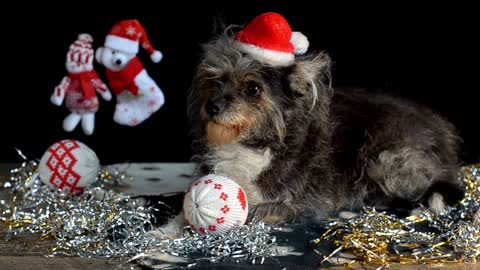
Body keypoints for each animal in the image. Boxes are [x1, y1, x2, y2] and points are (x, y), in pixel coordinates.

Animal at [182, 12, 464, 226]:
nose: (212, 107)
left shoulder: (310, 202)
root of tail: (440, 129)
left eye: (253, 89)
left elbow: (259, 211)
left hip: (388, 159)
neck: (252, 144)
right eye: (215, 79)